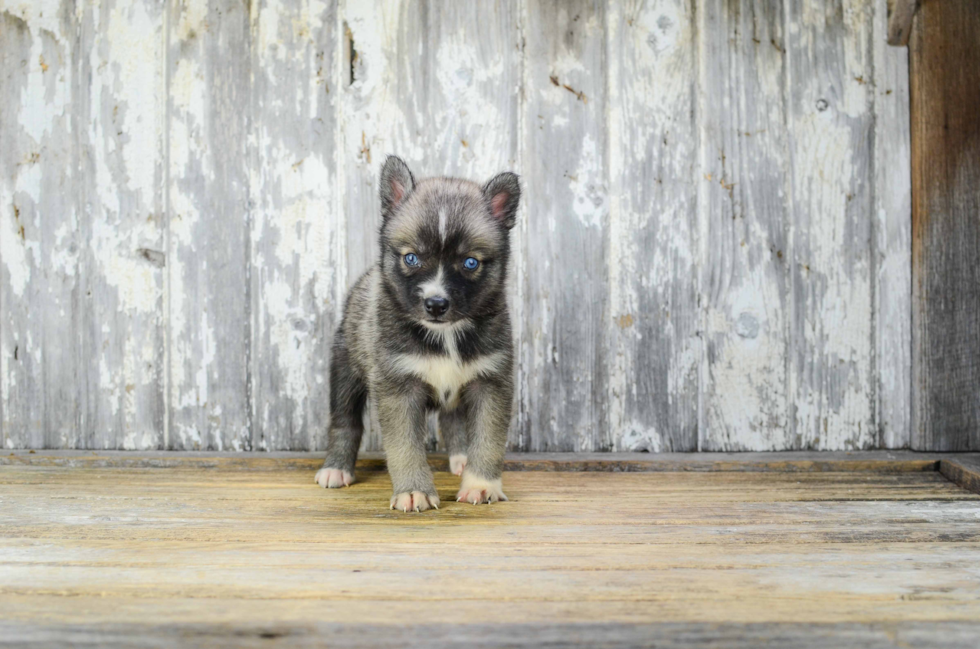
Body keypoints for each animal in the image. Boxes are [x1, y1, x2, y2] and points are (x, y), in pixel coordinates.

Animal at [318, 156, 524, 512]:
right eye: (411, 258)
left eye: (470, 262)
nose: (436, 304)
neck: (446, 334)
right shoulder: (397, 387)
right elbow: (405, 445)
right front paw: (413, 489)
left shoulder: (491, 381)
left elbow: (488, 438)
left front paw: (480, 483)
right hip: (346, 370)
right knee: (344, 421)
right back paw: (336, 467)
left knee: (452, 419)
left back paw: (461, 460)